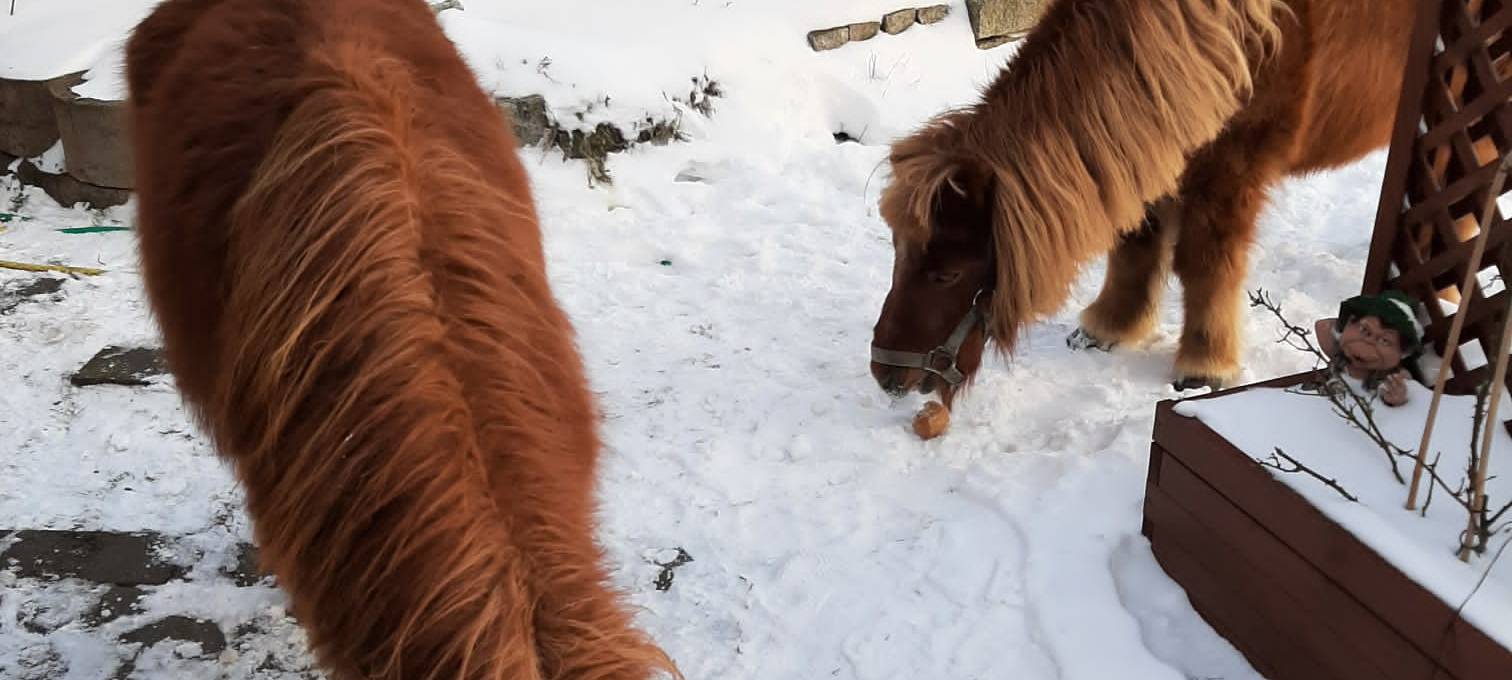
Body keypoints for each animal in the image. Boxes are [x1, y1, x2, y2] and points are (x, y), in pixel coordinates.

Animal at [868, 0, 1418, 409]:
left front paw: (1204, 365)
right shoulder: (1148, 156)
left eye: (947, 274)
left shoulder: (1230, 175)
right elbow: (1135, 247)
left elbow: (1204, 265)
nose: (885, 373)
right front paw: (1108, 327)